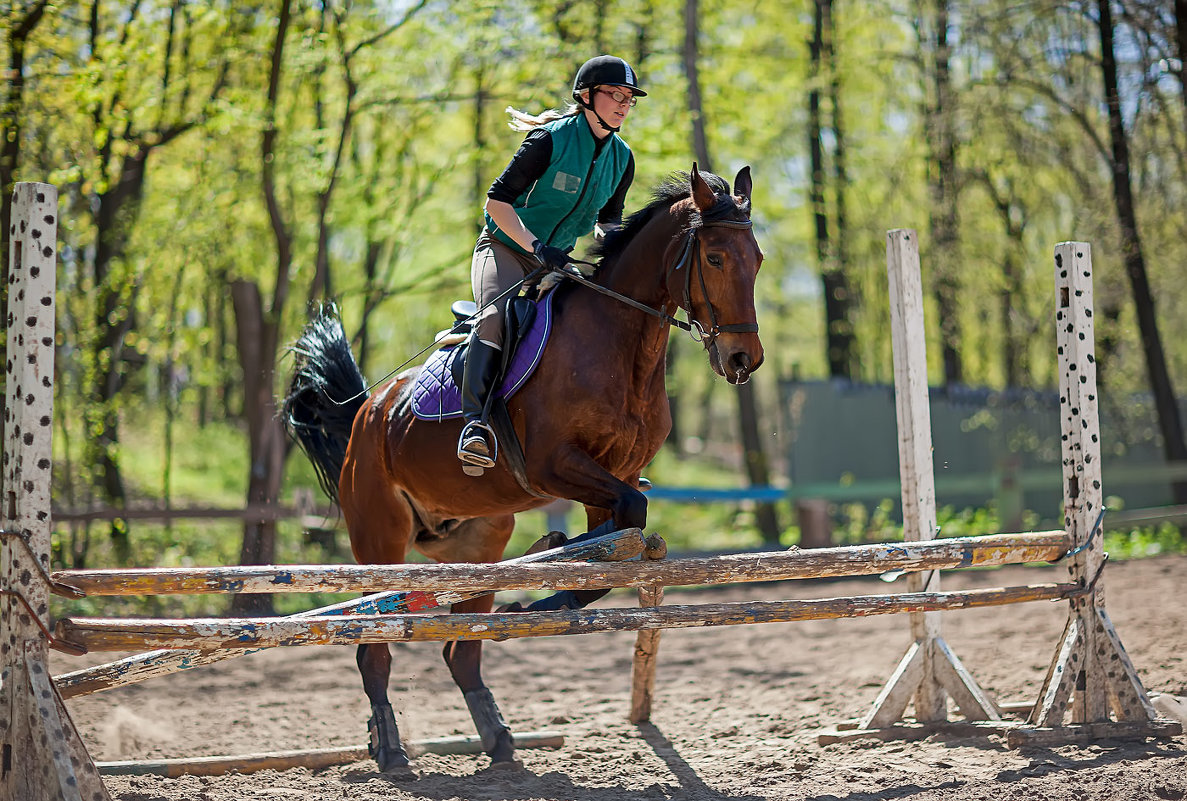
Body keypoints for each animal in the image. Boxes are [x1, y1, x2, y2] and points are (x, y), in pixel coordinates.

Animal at [286, 164, 764, 778]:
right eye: (715, 258)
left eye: (757, 258)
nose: (742, 359)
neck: (622, 347)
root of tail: (369, 410)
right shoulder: (553, 465)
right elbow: (629, 517)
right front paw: (551, 571)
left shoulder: (613, 477)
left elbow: (622, 533)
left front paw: (551, 582)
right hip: (379, 537)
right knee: (375, 647)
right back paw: (389, 749)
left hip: (476, 540)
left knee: (461, 649)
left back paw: (498, 738)